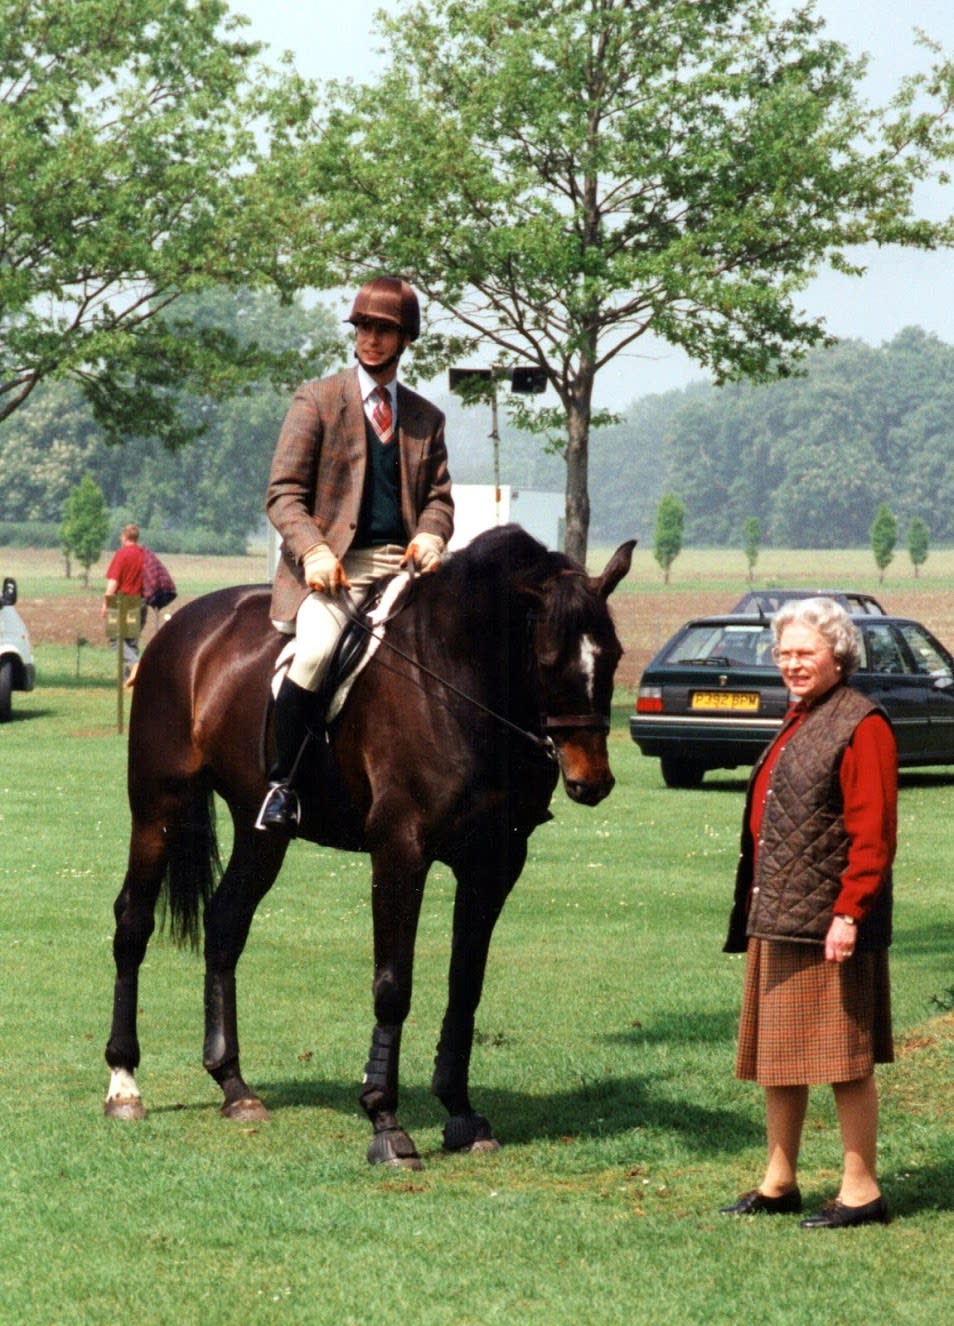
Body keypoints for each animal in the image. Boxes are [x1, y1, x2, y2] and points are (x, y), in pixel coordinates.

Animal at [104, 522, 634, 1166]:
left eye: (614, 656)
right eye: (548, 659)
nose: (592, 780)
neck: (454, 678)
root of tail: (182, 629)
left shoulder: (494, 862)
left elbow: (465, 985)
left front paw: (461, 1113)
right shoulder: (400, 850)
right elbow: (392, 984)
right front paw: (385, 1122)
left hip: (260, 832)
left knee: (225, 924)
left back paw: (234, 1086)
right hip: (159, 807)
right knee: (133, 923)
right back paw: (124, 1084)